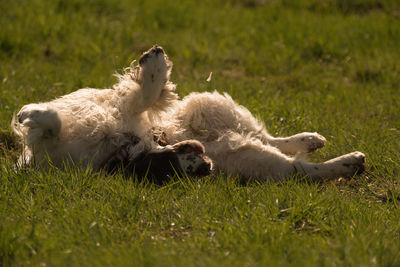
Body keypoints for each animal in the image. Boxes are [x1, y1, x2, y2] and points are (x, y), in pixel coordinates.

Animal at [14, 46, 366, 183]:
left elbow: (146, 92)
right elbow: (50, 125)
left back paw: (317, 143)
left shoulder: (125, 111)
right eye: (173, 170)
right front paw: (31, 114)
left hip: (211, 105)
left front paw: (154, 64)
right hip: (244, 146)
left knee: (276, 143)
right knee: (295, 164)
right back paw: (344, 160)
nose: (206, 166)